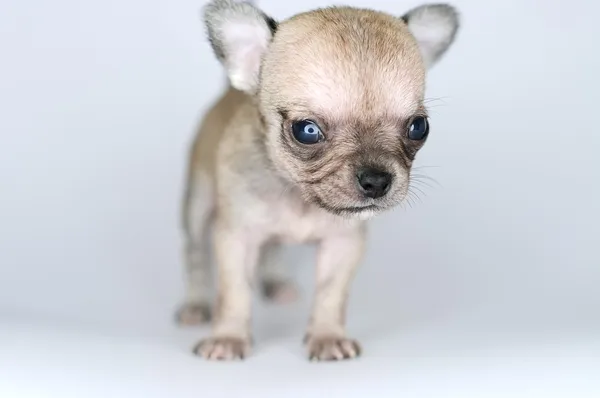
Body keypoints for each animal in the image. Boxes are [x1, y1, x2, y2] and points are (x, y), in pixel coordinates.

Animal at [176, 0, 462, 360]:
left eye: (418, 127)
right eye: (307, 131)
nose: (377, 180)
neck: (300, 197)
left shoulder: (344, 244)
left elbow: (330, 292)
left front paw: (327, 337)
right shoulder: (235, 238)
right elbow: (234, 291)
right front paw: (228, 337)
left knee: (273, 247)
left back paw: (277, 282)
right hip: (197, 207)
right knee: (195, 255)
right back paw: (194, 305)